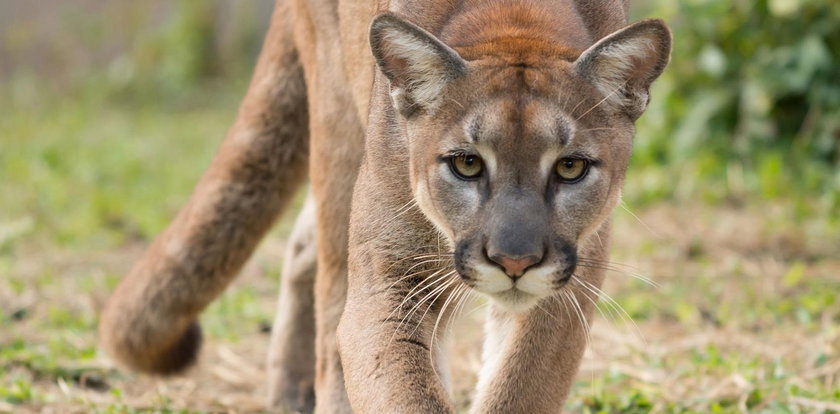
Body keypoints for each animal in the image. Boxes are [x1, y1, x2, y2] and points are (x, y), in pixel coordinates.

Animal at [100, 0, 668, 410]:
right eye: (466, 164)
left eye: (570, 167)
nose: (514, 261)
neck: (517, 22)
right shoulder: (389, 279)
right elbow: (400, 387)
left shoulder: (567, 291)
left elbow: (519, 387)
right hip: (338, 132)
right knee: (331, 298)